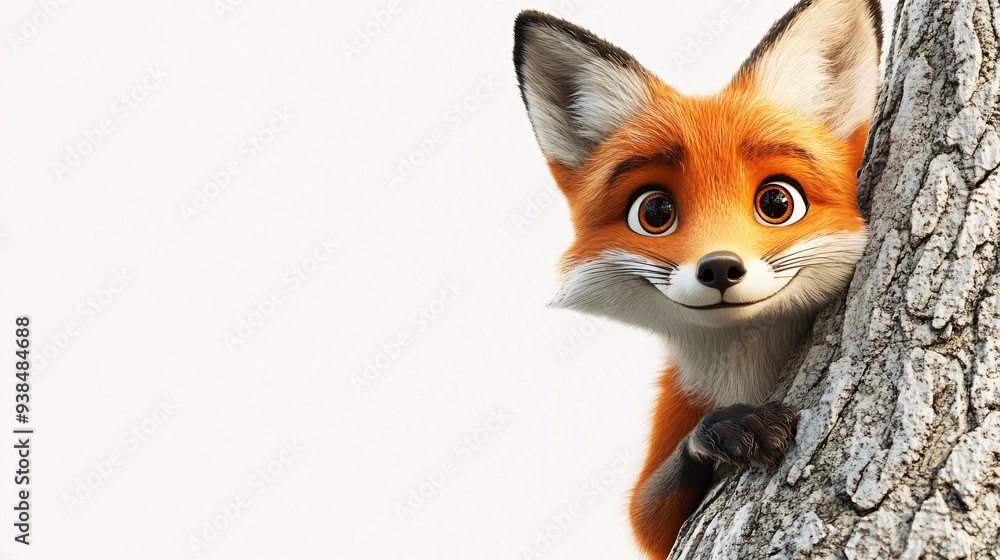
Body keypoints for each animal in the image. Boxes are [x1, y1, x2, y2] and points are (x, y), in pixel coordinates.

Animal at [512, 0, 882, 557]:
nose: (720, 267)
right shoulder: (677, 410)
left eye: (778, 202)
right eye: (654, 211)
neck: (744, 371)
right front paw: (724, 429)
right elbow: (646, 512)